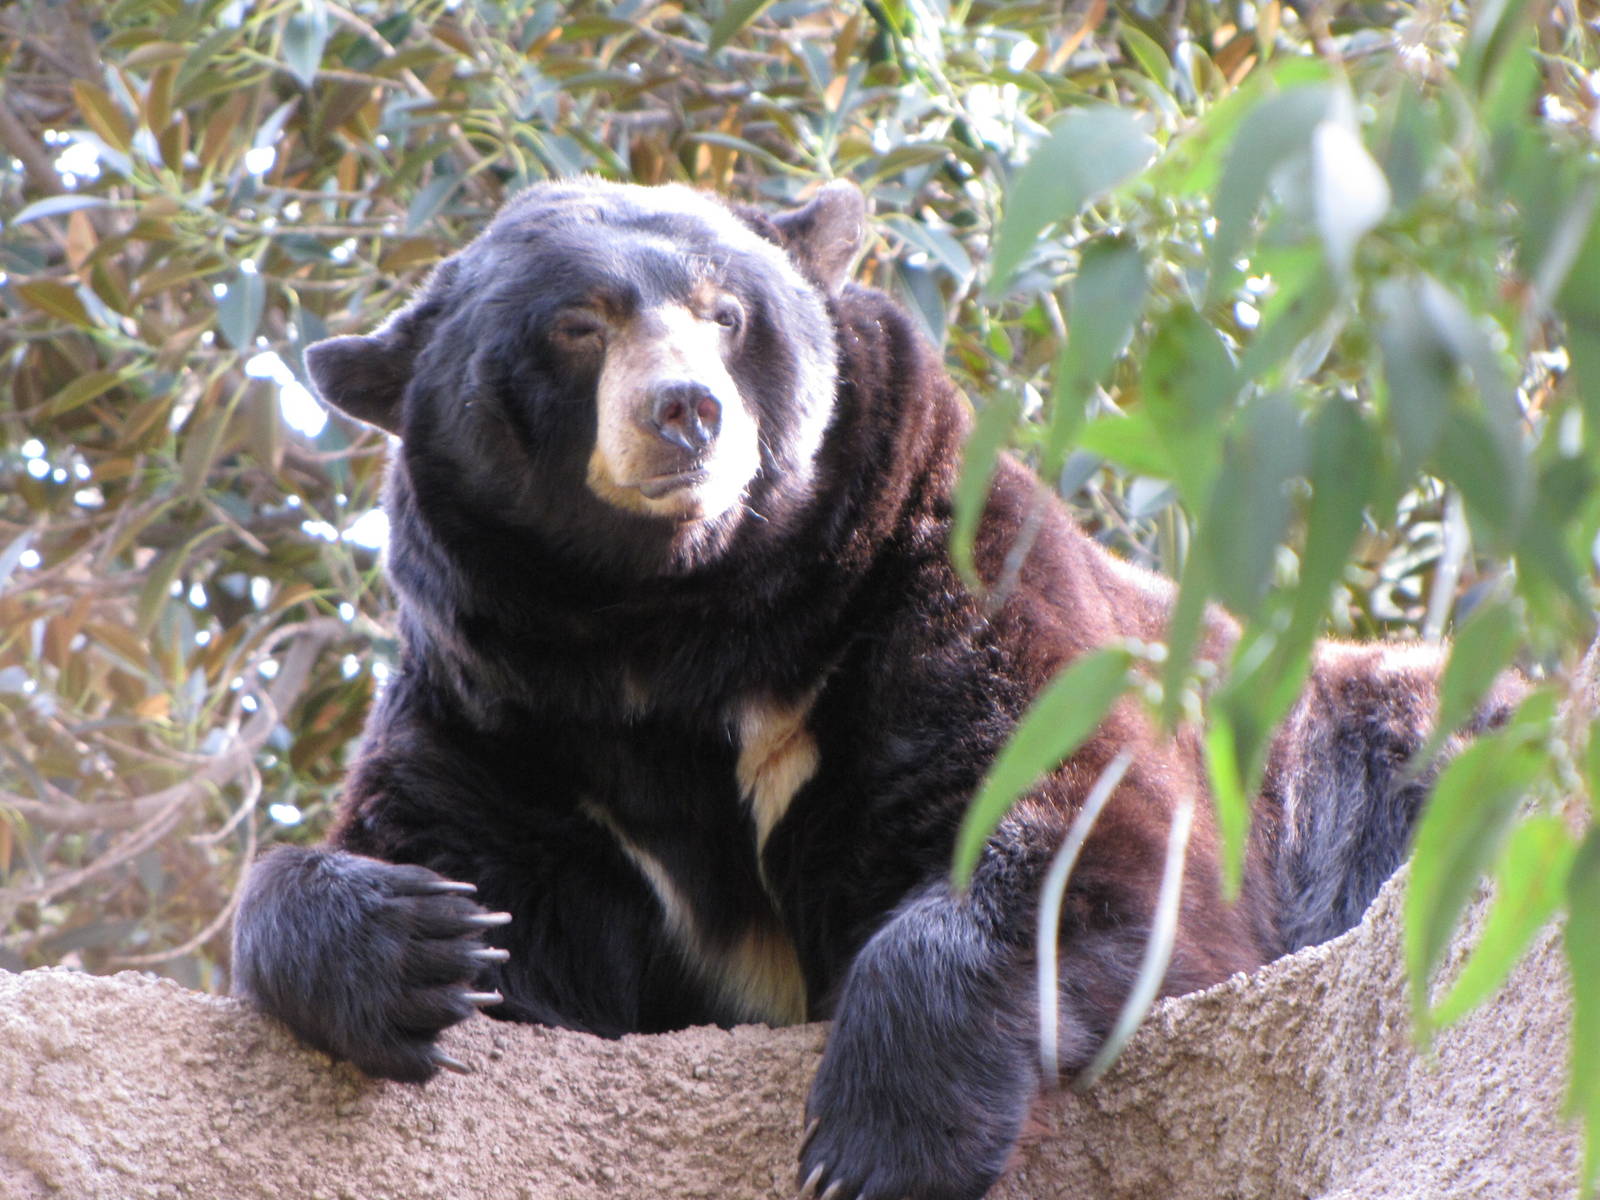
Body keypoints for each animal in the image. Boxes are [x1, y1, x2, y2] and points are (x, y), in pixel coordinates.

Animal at [230, 177, 1514, 1200]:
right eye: (577, 323)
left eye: (727, 313)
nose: (685, 411)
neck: (672, 628)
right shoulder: (504, 714)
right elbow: (442, 855)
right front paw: (422, 942)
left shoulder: (940, 580)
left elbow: (1094, 841)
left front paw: (876, 1144)